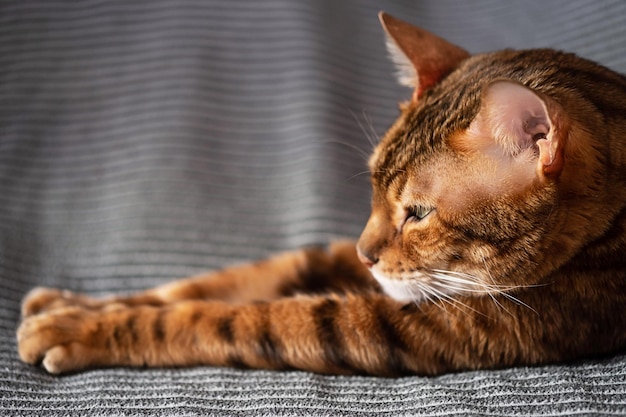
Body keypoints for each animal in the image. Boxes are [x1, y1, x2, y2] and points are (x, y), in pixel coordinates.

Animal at [14, 12, 624, 376]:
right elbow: (224, 281)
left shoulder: (435, 323)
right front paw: (76, 303)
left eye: (419, 214)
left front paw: (81, 327)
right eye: (373, 186)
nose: (365, 253)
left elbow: (218, 318)